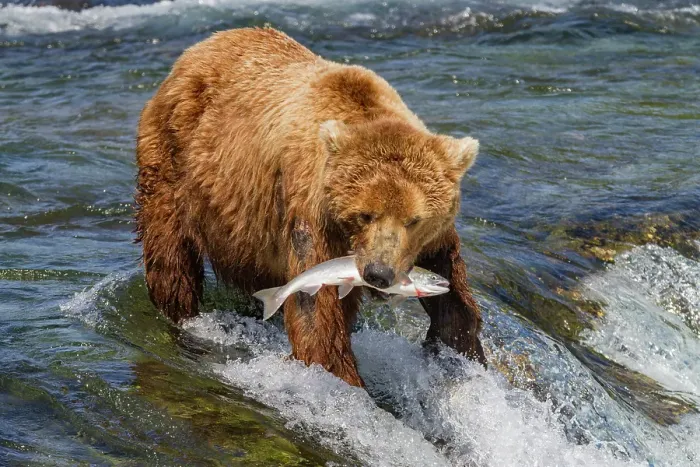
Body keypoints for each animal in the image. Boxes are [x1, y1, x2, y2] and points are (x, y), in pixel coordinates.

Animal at [135, 27, 485, 387]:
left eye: (414, 220)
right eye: (365, 215)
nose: (379, 273)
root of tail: (200, 47)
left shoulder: (429, 240)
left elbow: (452, 288)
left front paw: (461, 351)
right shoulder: (312, 212)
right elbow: (316, 313)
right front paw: (343, 379)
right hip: (175, 165)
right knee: (171, 259)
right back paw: (180, 316)